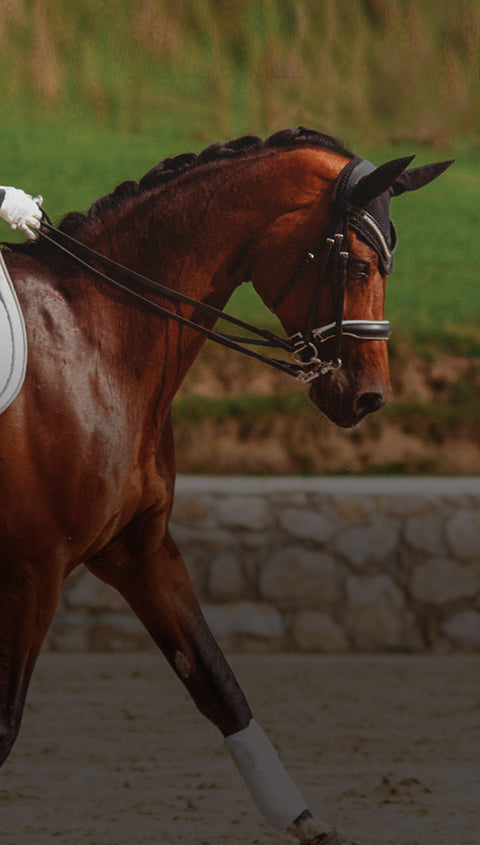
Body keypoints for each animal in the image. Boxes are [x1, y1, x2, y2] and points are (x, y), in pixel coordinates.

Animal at [0, 128, 452, 844]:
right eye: (357, 267)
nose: (370, 397)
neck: (96, 334)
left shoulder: (137, 549)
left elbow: (218, 684)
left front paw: (305, 820)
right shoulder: (32, 567)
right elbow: (5, 725)